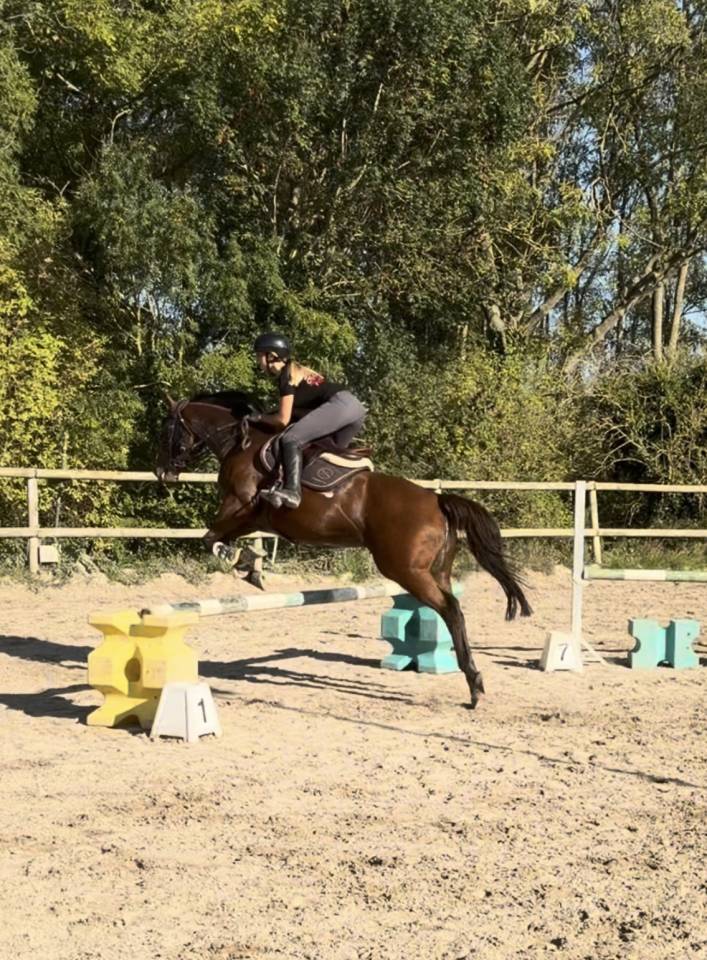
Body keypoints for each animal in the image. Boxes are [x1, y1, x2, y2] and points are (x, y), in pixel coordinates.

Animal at [155, 391, 532, 708]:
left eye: (168, 428)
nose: (162, 472)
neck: (242, 442)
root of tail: (437, 501)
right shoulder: (252, 518)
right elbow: (221, 537)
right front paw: (247, 563)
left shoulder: (240, 506)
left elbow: (211, 537)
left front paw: (239, 562)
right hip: (433, 571)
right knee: (452, 609)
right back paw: (472, 680)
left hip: (406, 570)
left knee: (451, 610)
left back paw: (474, 686)